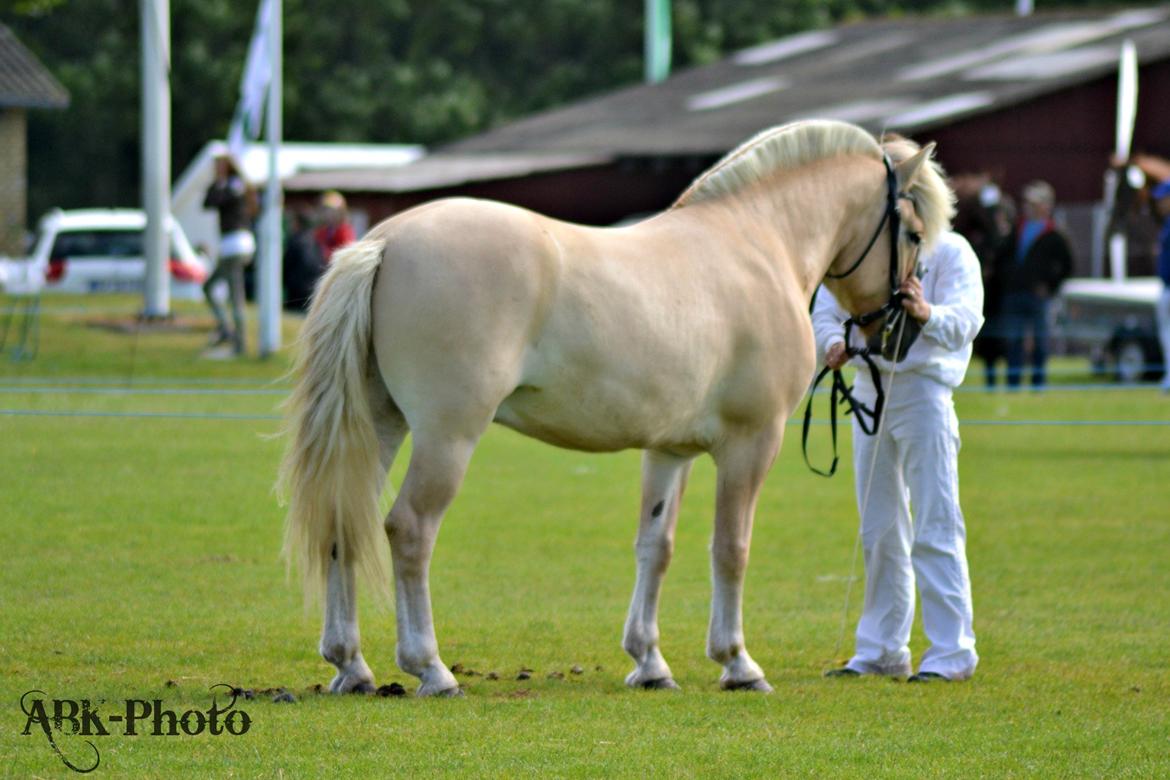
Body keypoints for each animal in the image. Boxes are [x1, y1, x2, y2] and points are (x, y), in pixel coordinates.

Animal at [278, 120, 954, 696]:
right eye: (914, 233)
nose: (902, 334)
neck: (758, 245)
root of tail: (385, 241)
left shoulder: (670, 450)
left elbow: (656, 547)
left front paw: (650, 663)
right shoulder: (751, 442)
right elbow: (730, 547)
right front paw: (738, 663)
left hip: (380, 424)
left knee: (343, 519)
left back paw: (351, 666)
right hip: (448, 435)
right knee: (410, 529)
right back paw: (431, 669)